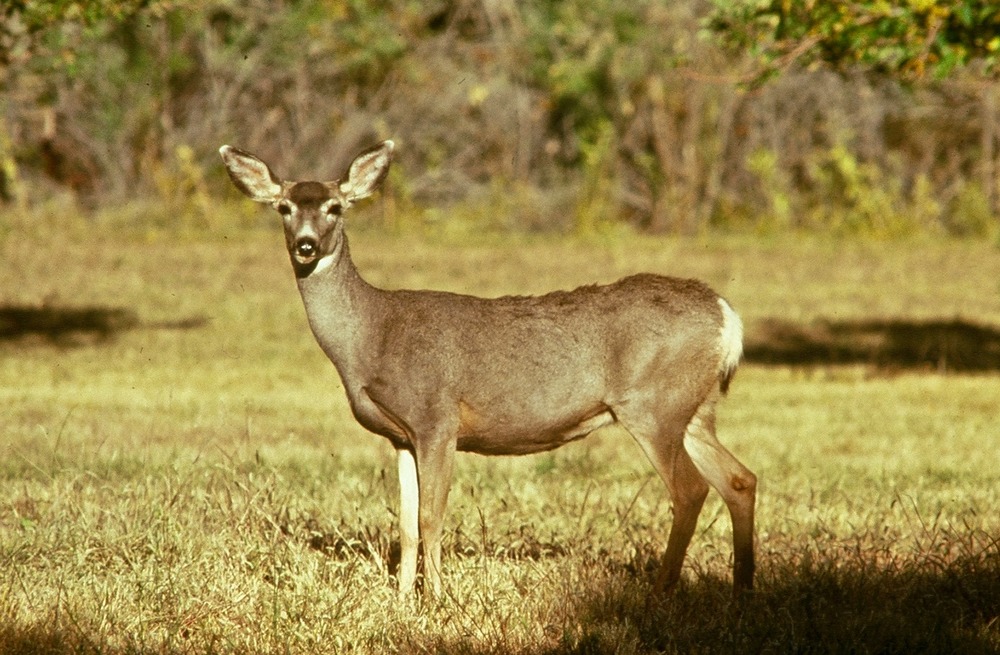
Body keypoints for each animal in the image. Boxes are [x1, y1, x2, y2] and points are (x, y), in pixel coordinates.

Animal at [219, 140, 756, 599]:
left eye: (335, 207)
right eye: (284, 208)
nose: (306, 246)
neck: (372, 336)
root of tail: (727, 316)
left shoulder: (437, 418)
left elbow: (432, 518)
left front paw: (436, 598)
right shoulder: (400, 436)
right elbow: (406, 525)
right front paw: (401, 599)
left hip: (652, 405)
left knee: (691, 489)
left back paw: (661, 591)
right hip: (694, 409)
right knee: (739, 479)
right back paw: (743, 589)